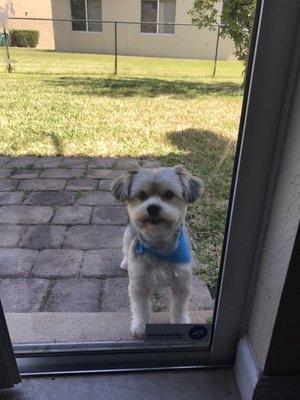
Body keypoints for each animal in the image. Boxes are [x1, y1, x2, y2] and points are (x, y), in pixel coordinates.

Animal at [111, 164, 203, 336]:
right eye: (141, 195)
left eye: (169, 194)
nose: (153, 208)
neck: (159, 243)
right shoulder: (138, 283)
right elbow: (141, 309)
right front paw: (140, 326)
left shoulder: (182, 282)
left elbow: (179, 307)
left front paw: (179, 322)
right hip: (128, 236)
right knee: (126, 249)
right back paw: (125, 262)